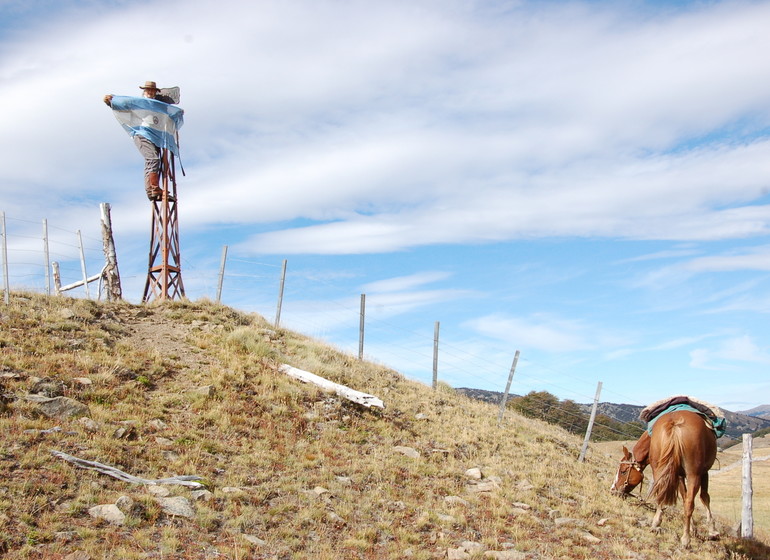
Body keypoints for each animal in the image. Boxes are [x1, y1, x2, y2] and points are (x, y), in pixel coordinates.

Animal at [608, 412, 716, 548]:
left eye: (623, 471)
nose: (613, 490)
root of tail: (674, 424)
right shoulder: (702, 473)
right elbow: (703, 497)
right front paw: (712, 530)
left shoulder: (680, 475)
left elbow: (688, 496)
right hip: (693, 474)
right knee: (689, 503)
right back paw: (685, 539)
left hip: (662, 470)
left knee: (662, 494)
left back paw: (656, 523)